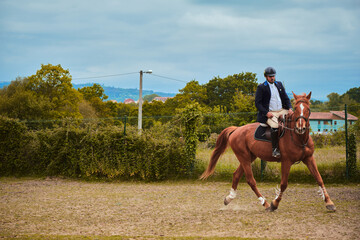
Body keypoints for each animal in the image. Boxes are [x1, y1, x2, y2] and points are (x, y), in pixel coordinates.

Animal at [201, 92, 336, 212]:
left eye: (308, 108)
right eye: (296, 108)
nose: (300, 128)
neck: (299, 138)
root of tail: (237, 129)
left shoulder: (309, 158)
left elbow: (319, 179)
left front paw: (329, 203)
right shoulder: (286, 161)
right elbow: (283, 184)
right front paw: (274, 204)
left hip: (250, 157)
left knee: (236, 175)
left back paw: (229, 199)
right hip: (244, 157)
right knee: (251, 180)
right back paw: (265, 203)